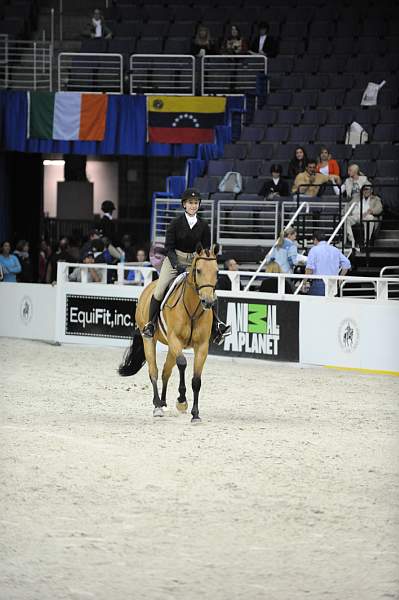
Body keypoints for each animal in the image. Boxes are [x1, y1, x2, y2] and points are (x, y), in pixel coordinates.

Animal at [119, 244, 219, 422]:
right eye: (198, 270)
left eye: (217, 272)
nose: (208, 302)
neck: (192, 308)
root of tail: (149, 287)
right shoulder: (175, 340)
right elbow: (182, 364)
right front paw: (182, 401)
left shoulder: (202, 346)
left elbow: (196, 380)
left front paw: (195, 414)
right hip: (149, 340)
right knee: (154, 371)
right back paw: (157, 406)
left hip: (172, 348)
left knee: (166, 371)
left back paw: (164, 402)